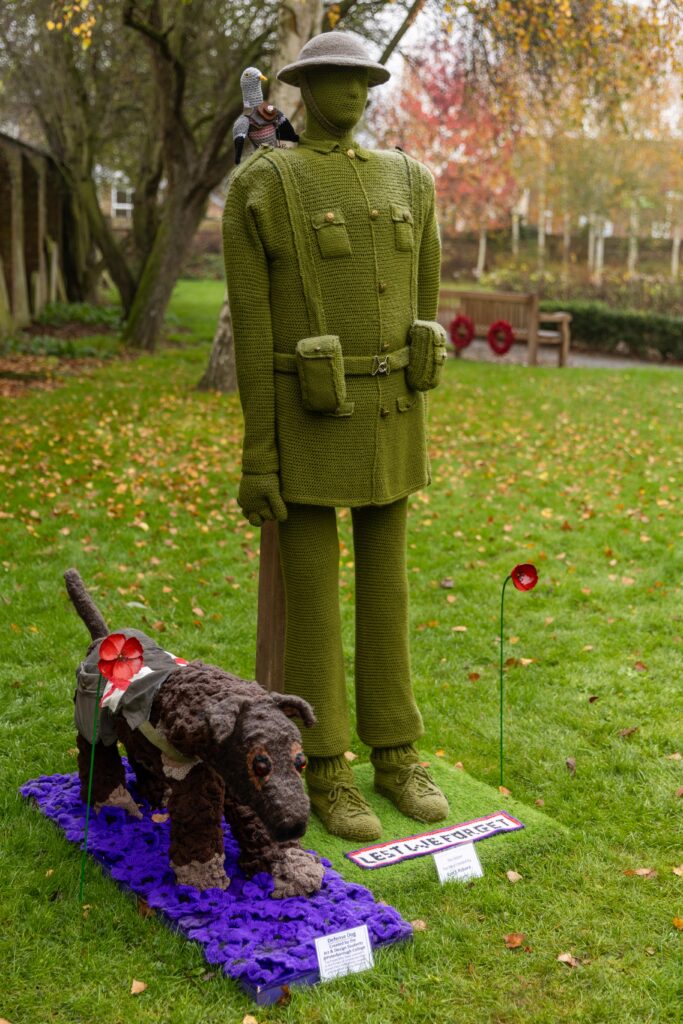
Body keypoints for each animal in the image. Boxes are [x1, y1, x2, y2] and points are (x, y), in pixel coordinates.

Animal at [66, 569, 325, 897]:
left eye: (301, 761)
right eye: (260, 764)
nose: (296, 826)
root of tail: (103, 638)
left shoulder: (232, 779)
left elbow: (253, 819)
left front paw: (291, 867)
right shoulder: (197, 774)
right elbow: (200, 824)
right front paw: (203, 881)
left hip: (136, 736)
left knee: (139, 756)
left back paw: (156, 796)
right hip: (93, 722)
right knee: (97, 758)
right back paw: (116, 807)